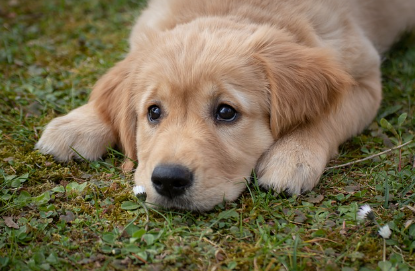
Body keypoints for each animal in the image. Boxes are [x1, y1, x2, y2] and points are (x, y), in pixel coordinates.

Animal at [35, 0, 415, 211]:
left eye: (226, 112)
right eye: (153, 111)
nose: (168, 180)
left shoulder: (363, 78)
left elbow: (328, 114)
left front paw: (292, 155)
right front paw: (79, 123)